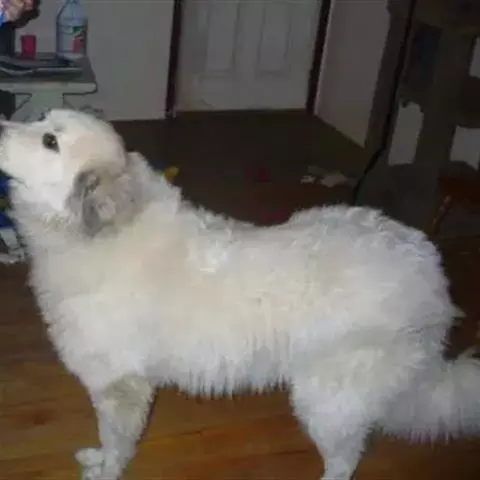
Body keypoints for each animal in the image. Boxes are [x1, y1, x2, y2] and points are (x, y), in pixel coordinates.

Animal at [1, 109, 479, 480]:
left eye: (49, 140)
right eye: (40, 119)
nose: (1, 123)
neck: (97, 234)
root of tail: (429, 274)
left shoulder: (120, 388)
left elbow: (117, 445)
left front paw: (104, 471)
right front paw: (97, 459)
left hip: (325, 400)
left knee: (344, 463)